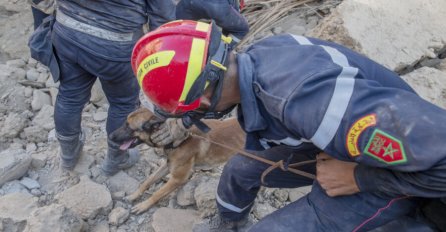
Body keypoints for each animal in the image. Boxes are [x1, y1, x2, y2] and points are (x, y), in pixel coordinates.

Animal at [110, 108, 246, 215]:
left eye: (129, 127)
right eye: (125, 123)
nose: (110, 136)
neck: (178, 140)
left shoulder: (177, 179)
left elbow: (157, 193)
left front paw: (143, 205)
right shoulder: (167, 166)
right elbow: (147, 181)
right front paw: (134, 195)